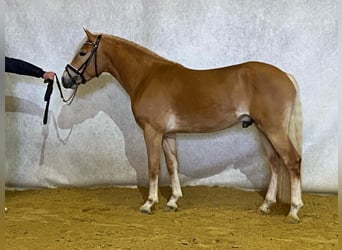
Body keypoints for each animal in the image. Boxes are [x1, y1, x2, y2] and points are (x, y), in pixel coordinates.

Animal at [60, 29, 302, 223]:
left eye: (83, 52)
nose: (65, 79)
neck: (147, 77)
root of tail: (286, 76)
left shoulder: (152, 132)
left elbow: (154, 167)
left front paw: (149, 203)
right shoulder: (168, 134)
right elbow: (172, 164)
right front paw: (173, 201)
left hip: (274, 130)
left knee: (292, 161)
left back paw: (293, 210)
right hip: (263, 131)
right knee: (275, 163)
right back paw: (266, 205)